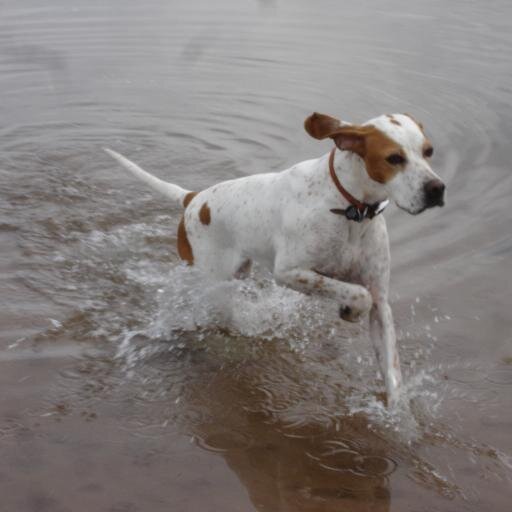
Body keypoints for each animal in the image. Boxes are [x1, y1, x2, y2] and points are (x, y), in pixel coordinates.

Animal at [106, 111, 446, 404]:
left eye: (428, 151)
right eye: (394, 158)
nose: (437, 189)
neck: (350, 210)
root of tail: (193, 199)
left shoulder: (380, 300)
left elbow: (392, 373)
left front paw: (399, 420)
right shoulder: (288, 273)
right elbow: (356, 293)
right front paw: (349, 309)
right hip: (214, 287)